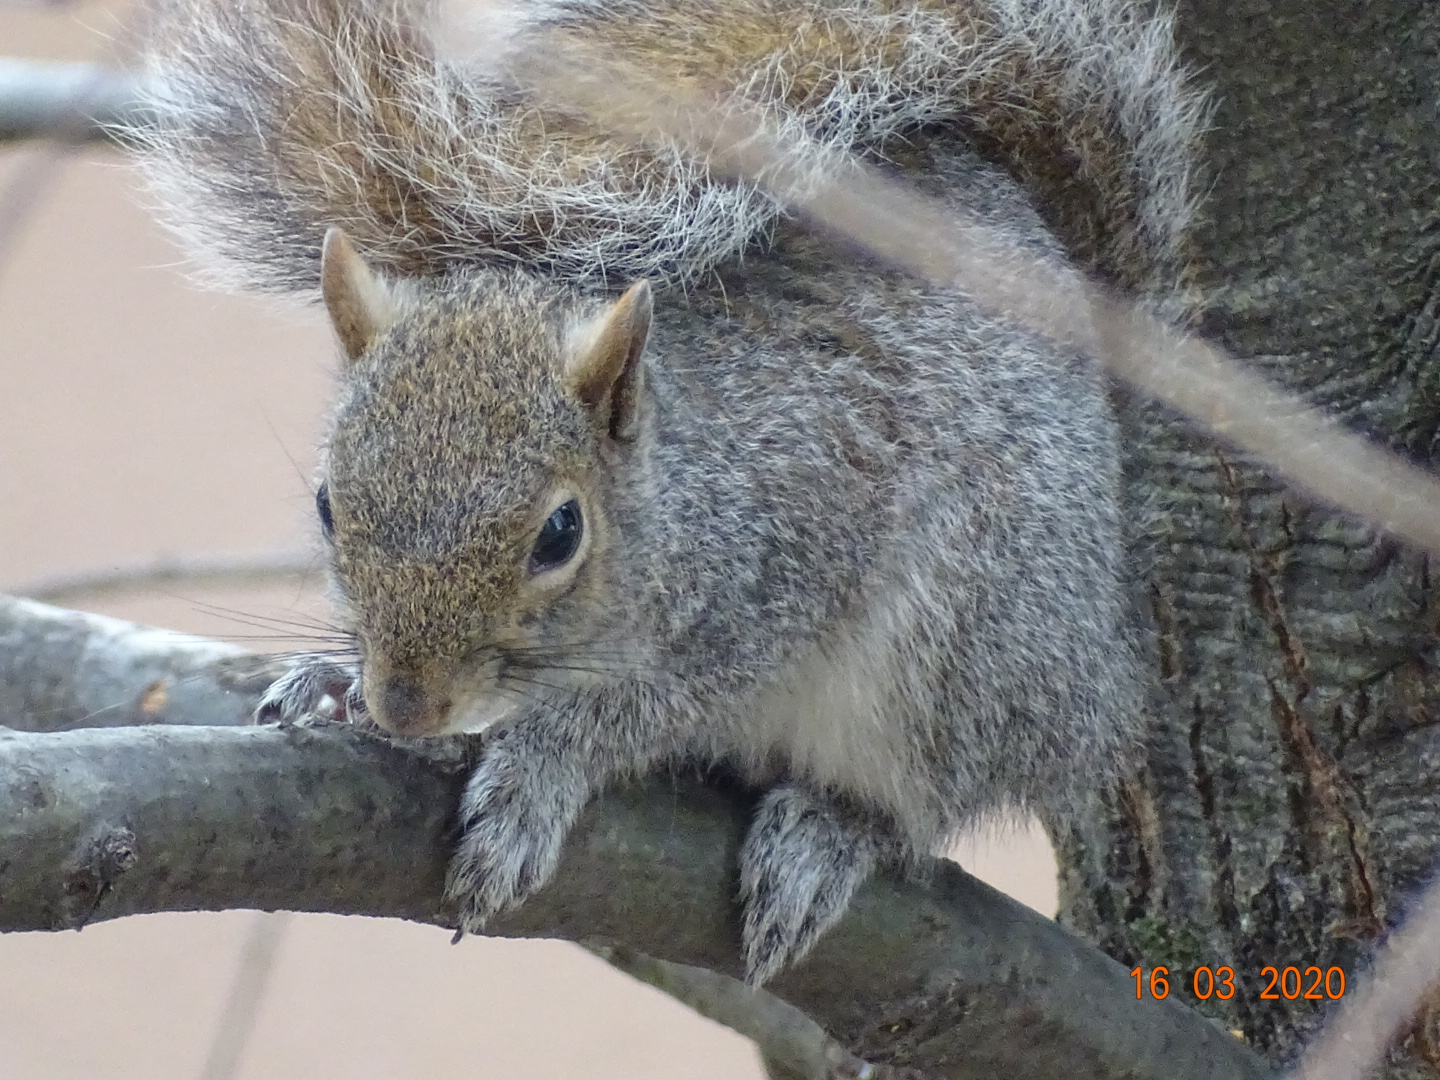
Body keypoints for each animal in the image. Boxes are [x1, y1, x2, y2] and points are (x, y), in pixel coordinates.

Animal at [128, 0, 1205, 983]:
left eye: (559, 533)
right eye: (326, 504)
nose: (408, 706)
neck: (675, 489)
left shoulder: (791, 555)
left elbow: (646, 705)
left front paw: (536, 772)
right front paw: (334, 684)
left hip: (965, 650)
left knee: (932, 793)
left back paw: (828, 836)